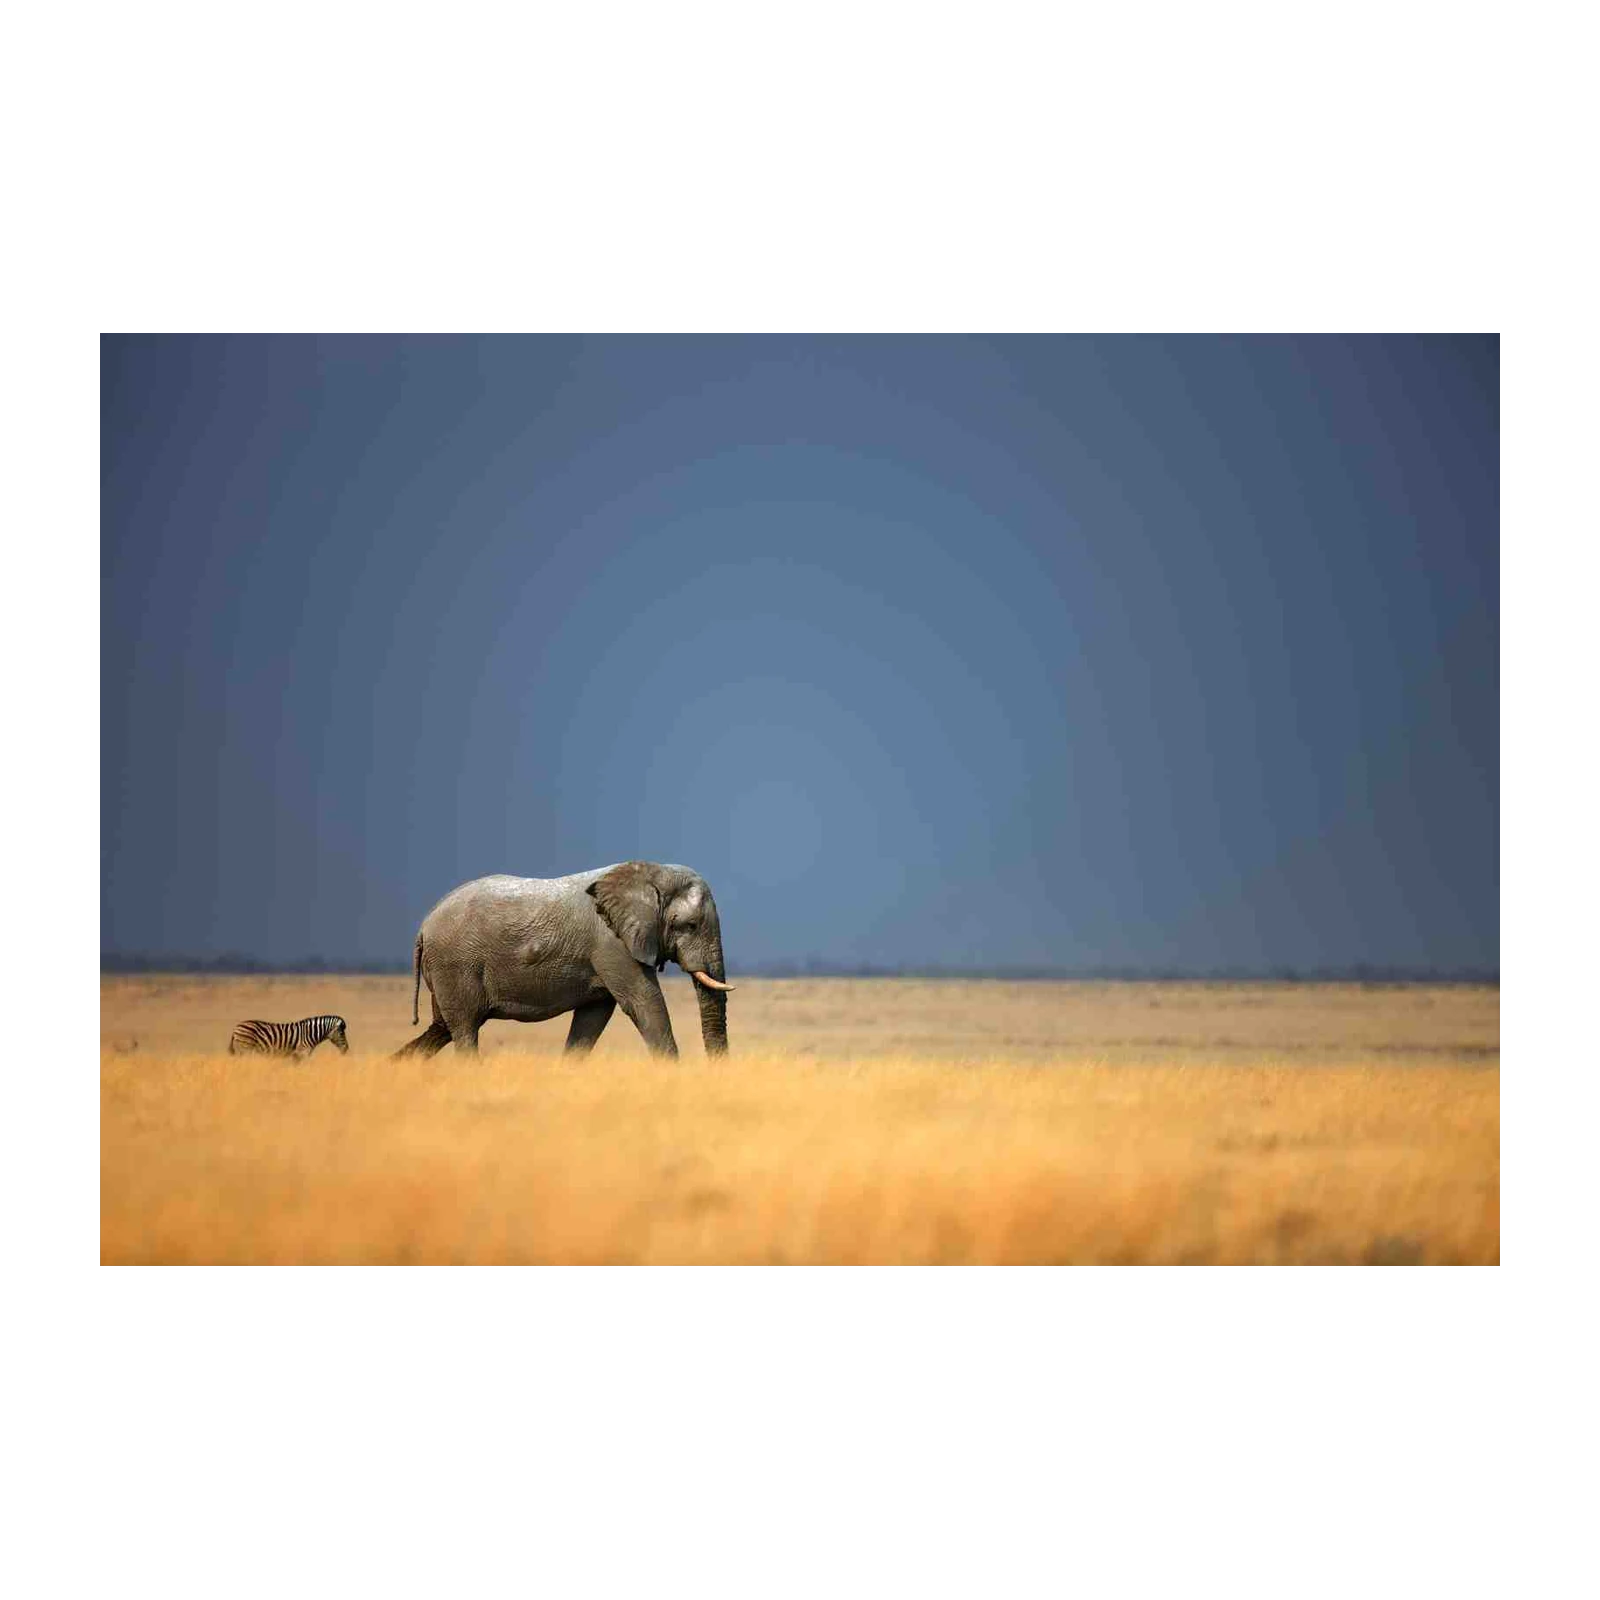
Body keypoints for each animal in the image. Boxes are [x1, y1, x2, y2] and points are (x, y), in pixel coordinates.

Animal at [391, 861, 733, 1060]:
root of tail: (423, 927)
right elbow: (644, 1002)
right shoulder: (611, 944)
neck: (649, 872)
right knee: (463, 1030)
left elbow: (593, 1017)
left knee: (441, 1028)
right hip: (456, 964)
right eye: (689, 926)